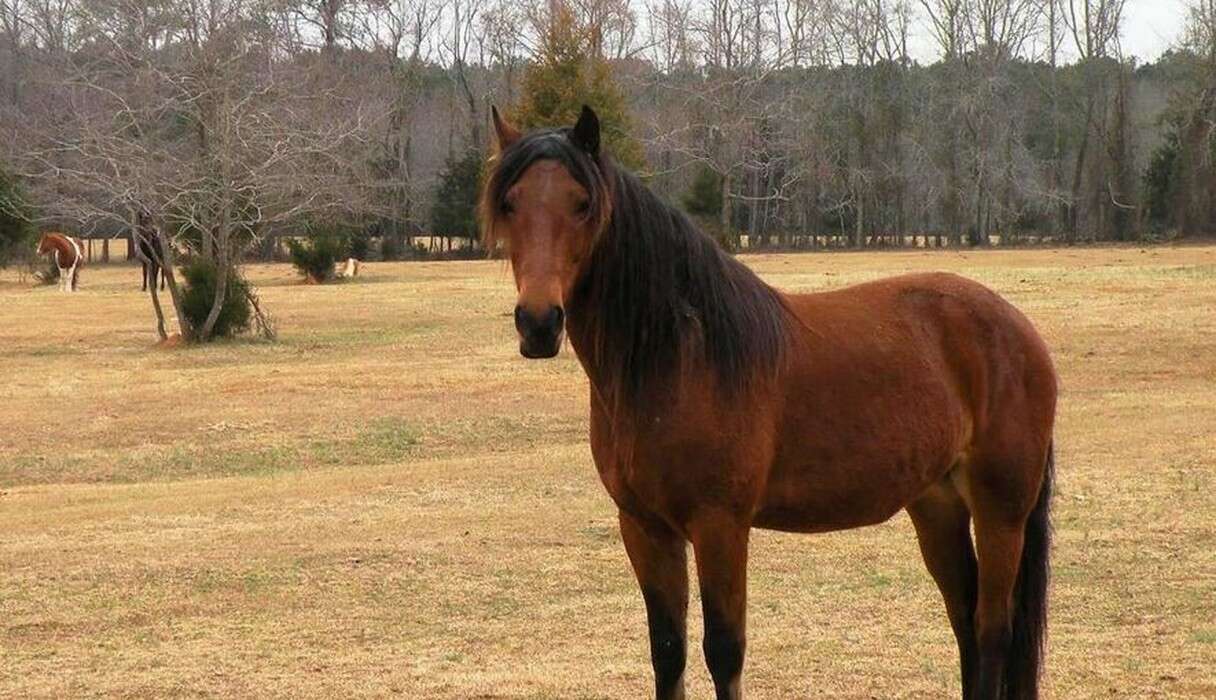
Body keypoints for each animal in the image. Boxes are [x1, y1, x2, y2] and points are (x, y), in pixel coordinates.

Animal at [479, 105, 1060, 700]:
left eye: (581, 203)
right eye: (510, 202)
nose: (539, 323)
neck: (680, 359)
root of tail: (1018, 329)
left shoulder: (720, 526)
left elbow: (723, 651)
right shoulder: (644, 528)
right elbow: (667, 651)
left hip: (1001, 510)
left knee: (992, 629)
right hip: (937, 503)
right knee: (965, 620)